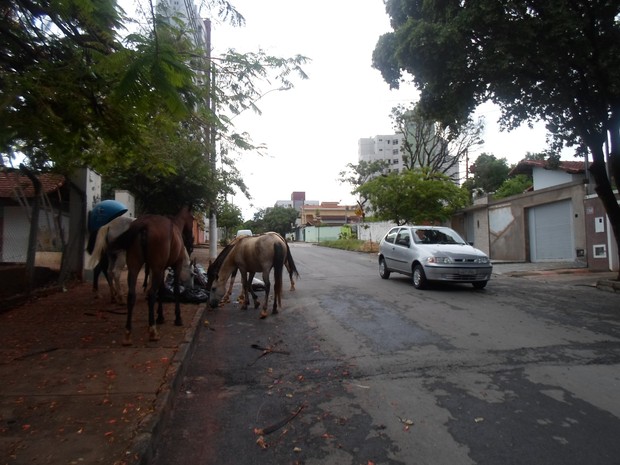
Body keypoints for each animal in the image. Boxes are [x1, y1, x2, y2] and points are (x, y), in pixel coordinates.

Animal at [108, 207, 193, 344]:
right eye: (192, 218)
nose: (191, 240)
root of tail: (145, 224)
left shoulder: (162, 268)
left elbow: (162, 290)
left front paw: (160, 316)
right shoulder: (176, 265)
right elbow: (174, 290)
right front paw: (177, 318)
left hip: (134, 266)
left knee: (131, 295)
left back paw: (128, 333)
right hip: (155, 268)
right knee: (152, 293)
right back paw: (152, 330)